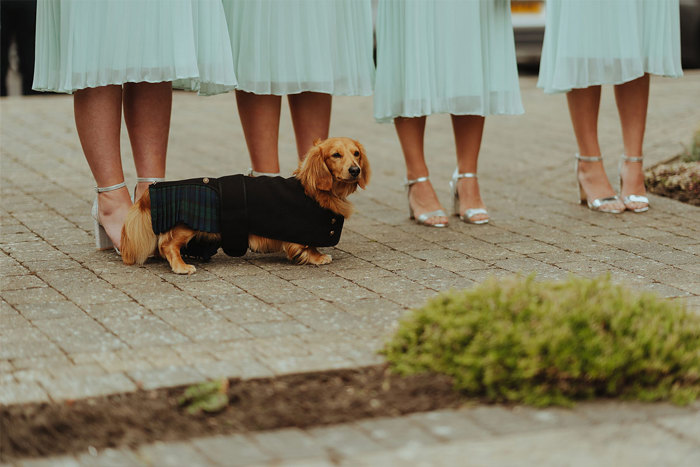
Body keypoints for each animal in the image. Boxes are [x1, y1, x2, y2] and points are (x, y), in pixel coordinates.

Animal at [119, 137, 372, 274]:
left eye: (356, 154)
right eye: (336, 155)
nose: (355, 170)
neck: (314, 191)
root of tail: (150, 193)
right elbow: (306, 246)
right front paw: (317, 257)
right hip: (187, 226)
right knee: (168, 245)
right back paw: (181, 266)